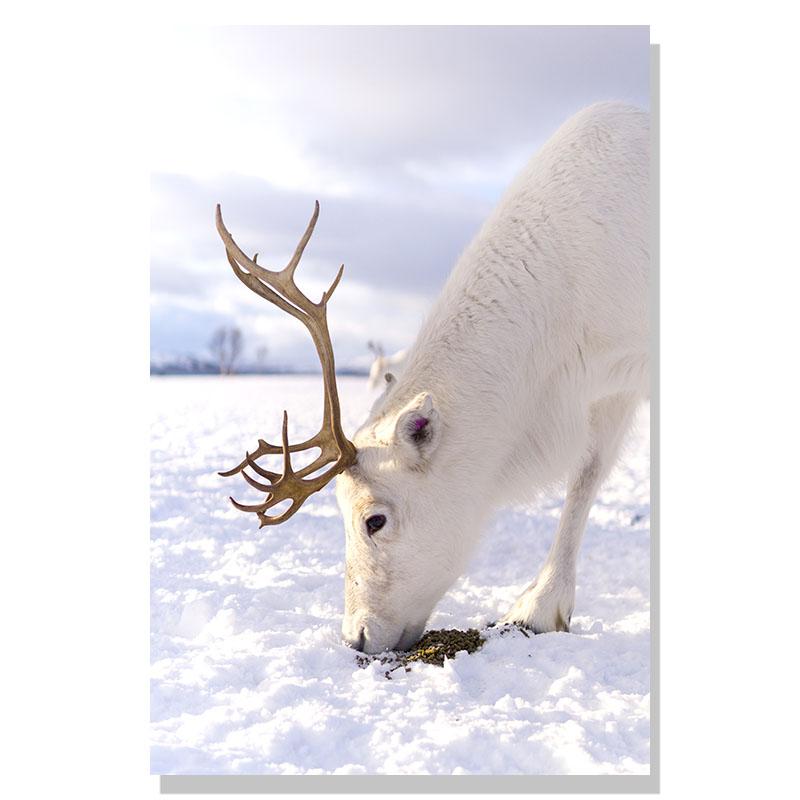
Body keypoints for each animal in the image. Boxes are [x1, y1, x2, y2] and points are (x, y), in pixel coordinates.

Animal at [215, 102, 650, 654]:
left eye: (375, 520)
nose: (356, 637)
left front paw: (539, 606)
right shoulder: (608, 384)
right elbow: (587, 474)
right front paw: (545, 605)